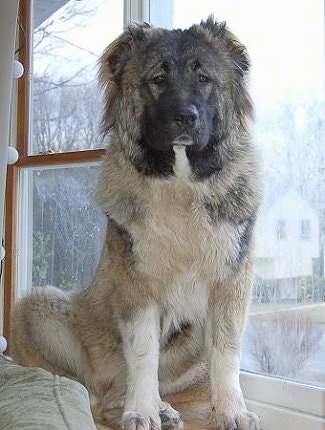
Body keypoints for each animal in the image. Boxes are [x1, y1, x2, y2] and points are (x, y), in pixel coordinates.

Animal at [10, 17, 264, 430]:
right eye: (158, 78)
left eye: (205, 78)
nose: (186, 116)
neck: (180, 185)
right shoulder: (137, 284)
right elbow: (144, 352)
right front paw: (142, 411)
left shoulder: (230, 284)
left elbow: (227, 352)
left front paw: (233, 412)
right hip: (37, 304)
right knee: (92, 396)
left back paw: (165, 410)